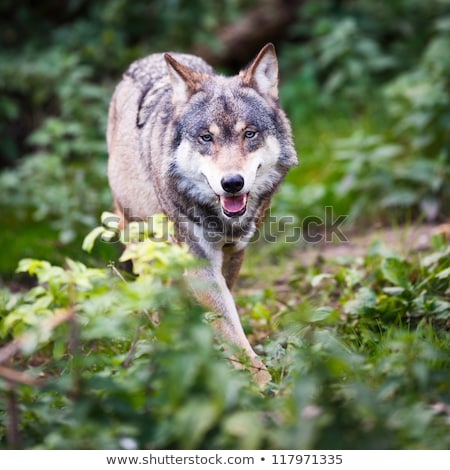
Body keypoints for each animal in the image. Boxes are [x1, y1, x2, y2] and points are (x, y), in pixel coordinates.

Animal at [107, 43, 298, 386]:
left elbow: (226, 317)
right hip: (142, 240)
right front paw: (263, 385)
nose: (232, 183)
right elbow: (231, 329)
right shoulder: (198, 259)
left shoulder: (234, 253)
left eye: (249, 134)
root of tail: (147, 58)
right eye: (206, 138)